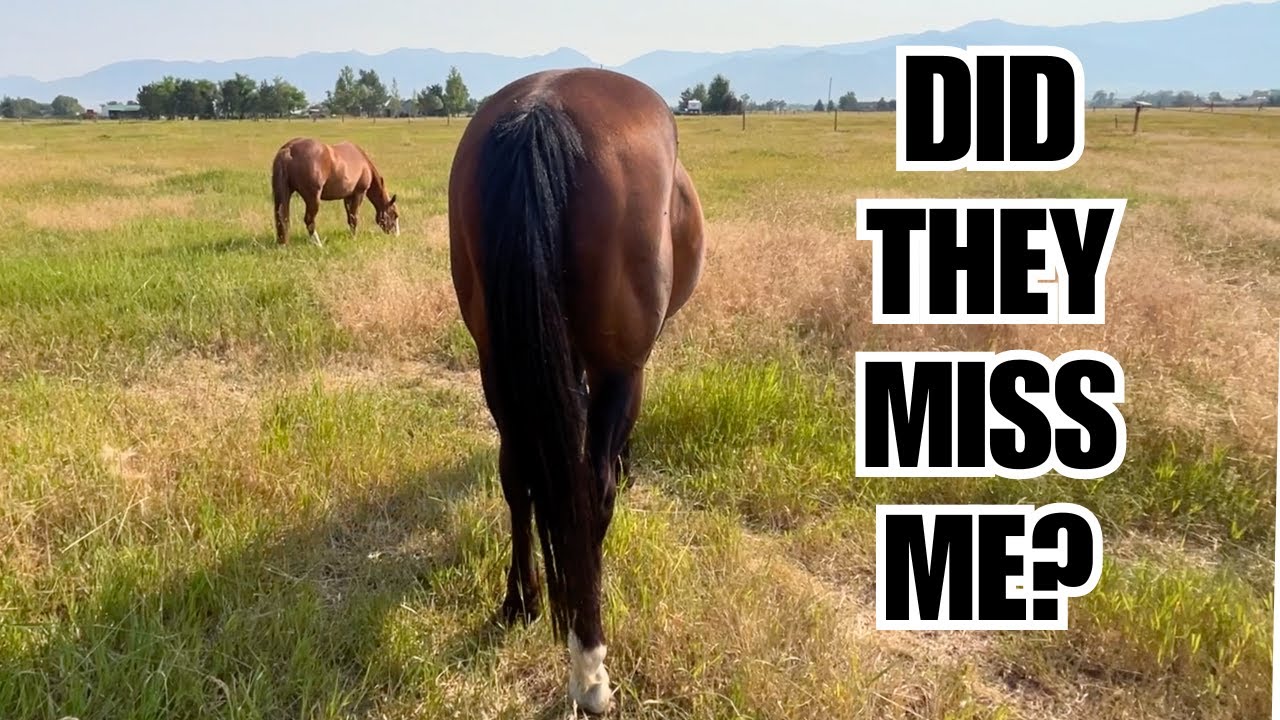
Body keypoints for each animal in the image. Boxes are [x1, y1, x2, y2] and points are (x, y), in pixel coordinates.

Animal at [271, 137, 400, 246]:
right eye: (395, 214)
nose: (396, 235)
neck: (364, 162)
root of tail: (289, 149)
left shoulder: (348, 196)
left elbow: (350, 217)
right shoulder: (359, 193)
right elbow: (354, 217)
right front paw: (354, 238)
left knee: (282, 219)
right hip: (313, 198)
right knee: (309, 220)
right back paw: (319, 245)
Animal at [447, 68, 706, 714]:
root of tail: (542, 111)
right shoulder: (629, 367)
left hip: (497, 364)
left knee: (518, 477)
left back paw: (522, 600)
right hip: (617, 366)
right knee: (592, 488)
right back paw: (589, 666)